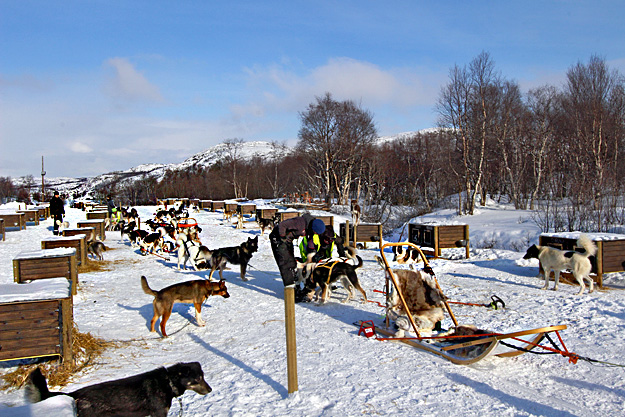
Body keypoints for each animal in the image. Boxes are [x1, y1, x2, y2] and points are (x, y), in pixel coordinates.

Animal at [25, 360, 211, 416]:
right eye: (197, 379)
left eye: (203, 377)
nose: (210, 390)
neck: (168, 382)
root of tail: (75, 394)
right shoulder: (159, 413)